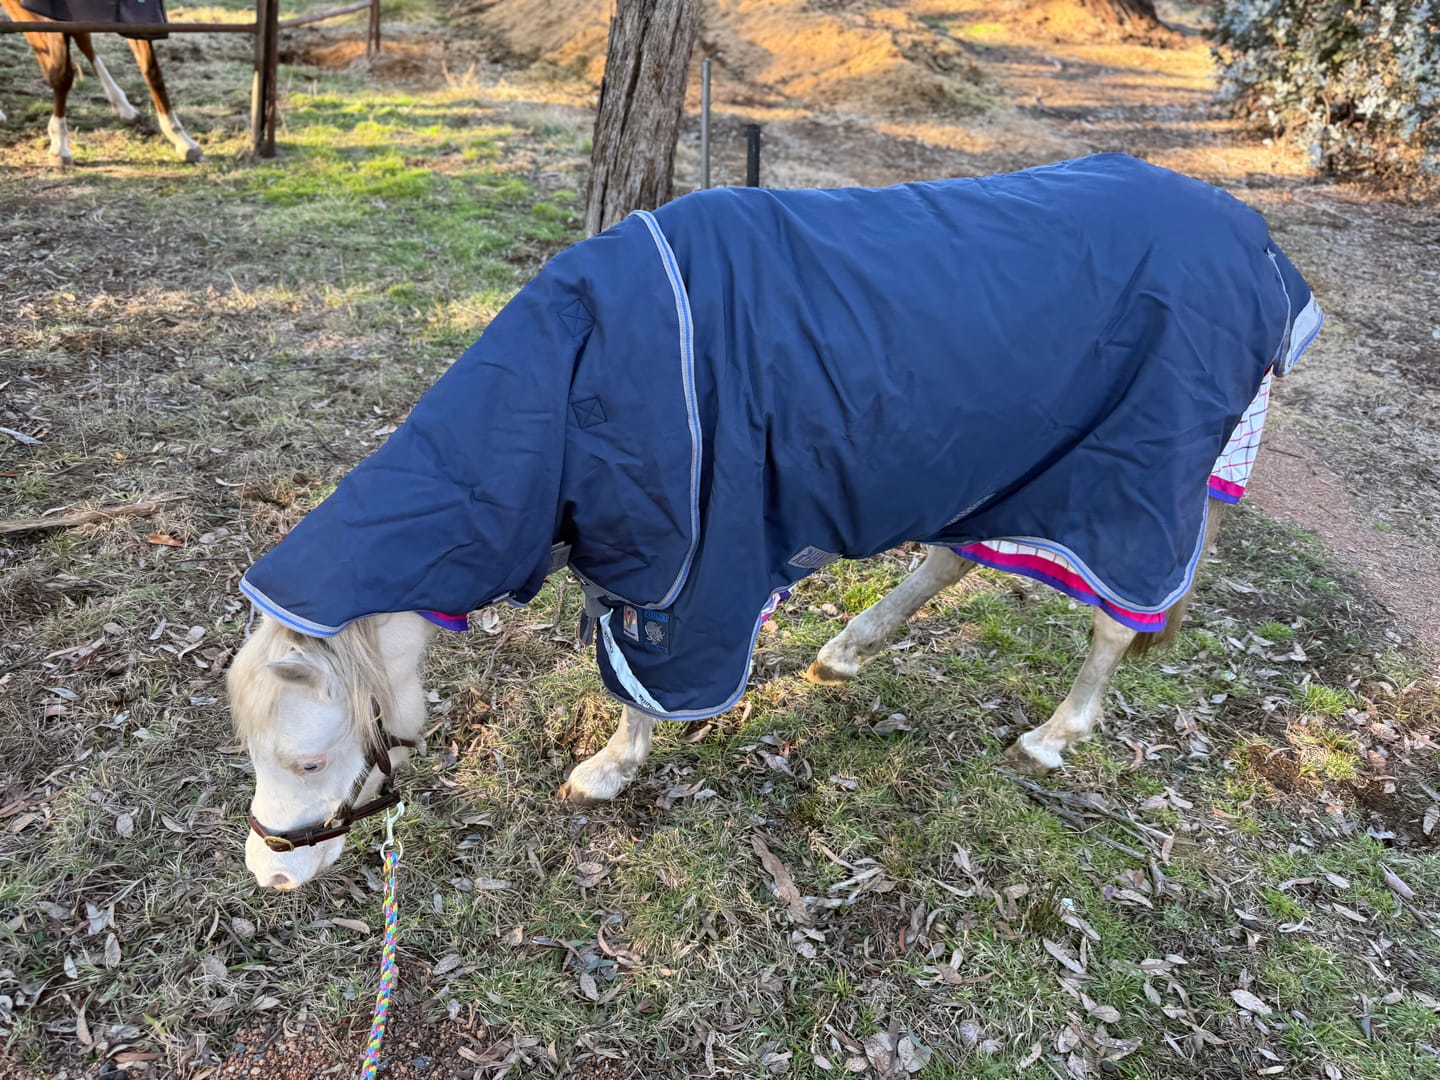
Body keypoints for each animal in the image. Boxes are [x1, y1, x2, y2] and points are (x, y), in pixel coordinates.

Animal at [0, 0, 201, 164]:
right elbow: (61, 74)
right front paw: (60, 147)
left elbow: (152, 70)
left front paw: (181, 139)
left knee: (84, 40)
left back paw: (125, 107)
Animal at [225, 154, 1322, 891]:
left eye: (310, 759)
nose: (268, 873)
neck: (577, 377)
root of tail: (1258, 242)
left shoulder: (690, 563)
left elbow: (645, 683)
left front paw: (610, 771)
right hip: (1011, 468)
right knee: (956, 563)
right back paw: (846, 651)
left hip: (1140, 486)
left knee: (1117, 617)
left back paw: (1054, 737)